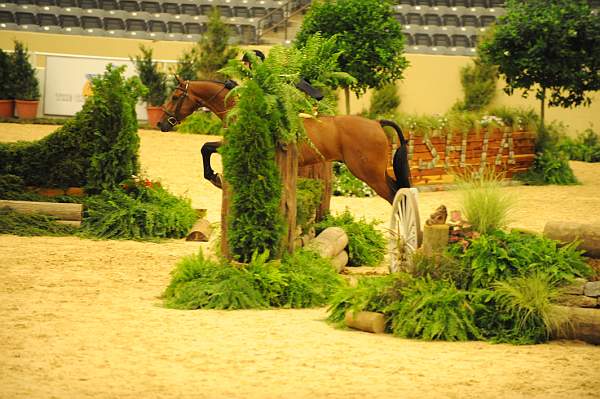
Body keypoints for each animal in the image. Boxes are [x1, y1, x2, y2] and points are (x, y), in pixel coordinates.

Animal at [158, 78, 412, 205]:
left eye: (175, 96)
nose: (161, 123)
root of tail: (377, 123)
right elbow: (206, 148)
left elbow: (206, 148)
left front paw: (215, 178)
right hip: (375, 172)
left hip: (368, 173)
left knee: (394, 195)